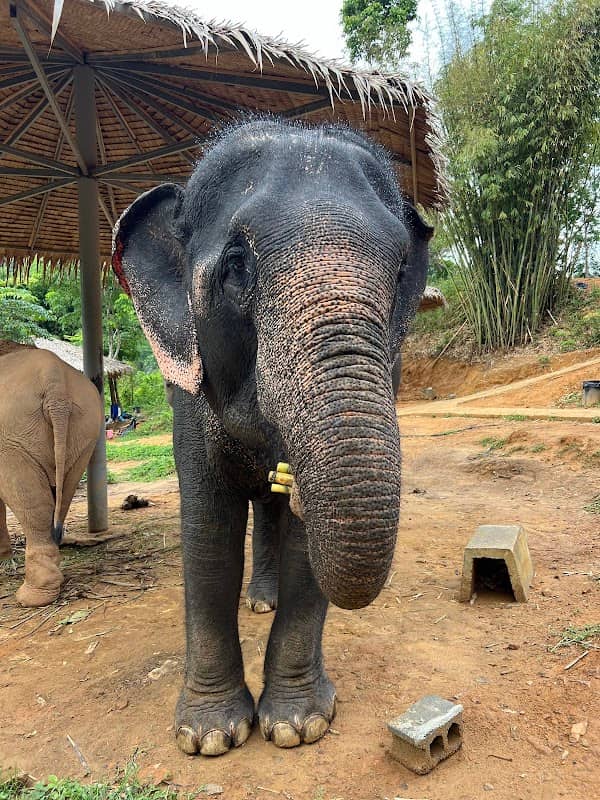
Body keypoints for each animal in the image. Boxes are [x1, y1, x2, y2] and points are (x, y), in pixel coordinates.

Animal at [0, 341, 103, 606]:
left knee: (33, 505)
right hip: (87, 428)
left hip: (12, 437)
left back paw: (31, 598)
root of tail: (53, 379)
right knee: (63, 494)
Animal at [112, 118, 433, 756]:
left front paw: (296, 726)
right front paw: (209, 737)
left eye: (399, 270)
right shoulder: (186, 385)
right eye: (237, 264)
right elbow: (208, 525)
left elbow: (302, 540)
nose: (292, 473)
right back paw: (260, 600)